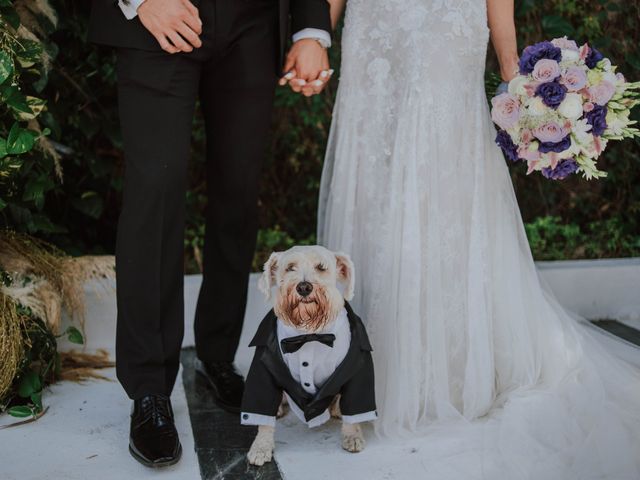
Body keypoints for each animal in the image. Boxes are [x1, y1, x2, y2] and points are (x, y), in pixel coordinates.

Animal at [242, 246, 378, 464]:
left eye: (321, 267)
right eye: (290, 268)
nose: (304, 287)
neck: (308, 333)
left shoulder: (358, 368)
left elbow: (356, 410)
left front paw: (353, 436)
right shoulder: (263, 369)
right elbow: (262, 418)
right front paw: (261, 446)